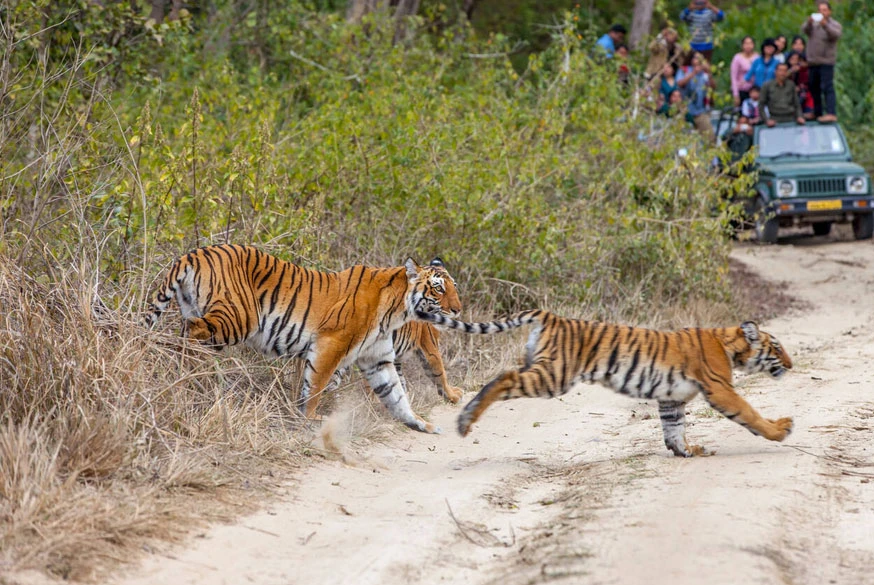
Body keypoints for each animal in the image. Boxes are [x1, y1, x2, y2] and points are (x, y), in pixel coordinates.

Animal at [145, 244, 462, 433]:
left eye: (453, 287)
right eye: (438, 289)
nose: (458, 310)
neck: (397, 311)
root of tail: (195, 253)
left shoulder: (378, 359)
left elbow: (396, 395)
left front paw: (420, 423)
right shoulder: (330, 344)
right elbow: (316, 385)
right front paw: (309, 418)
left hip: (201, 309)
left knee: (186, 330)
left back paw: (189, 374)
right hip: (238, 317)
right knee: (191, 330)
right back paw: (187, 371)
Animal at [414, 309, 794, 456]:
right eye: (776, 347)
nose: (791, 365)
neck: (730, 345)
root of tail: (550, 315)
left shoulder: (671, 398)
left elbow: (674, 429)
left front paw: (689, 451)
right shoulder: (721, 390)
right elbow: (750, 413)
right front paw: (780, 429)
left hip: (543, 369)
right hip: (553, 377)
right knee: (504, 378)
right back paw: (466, 421)